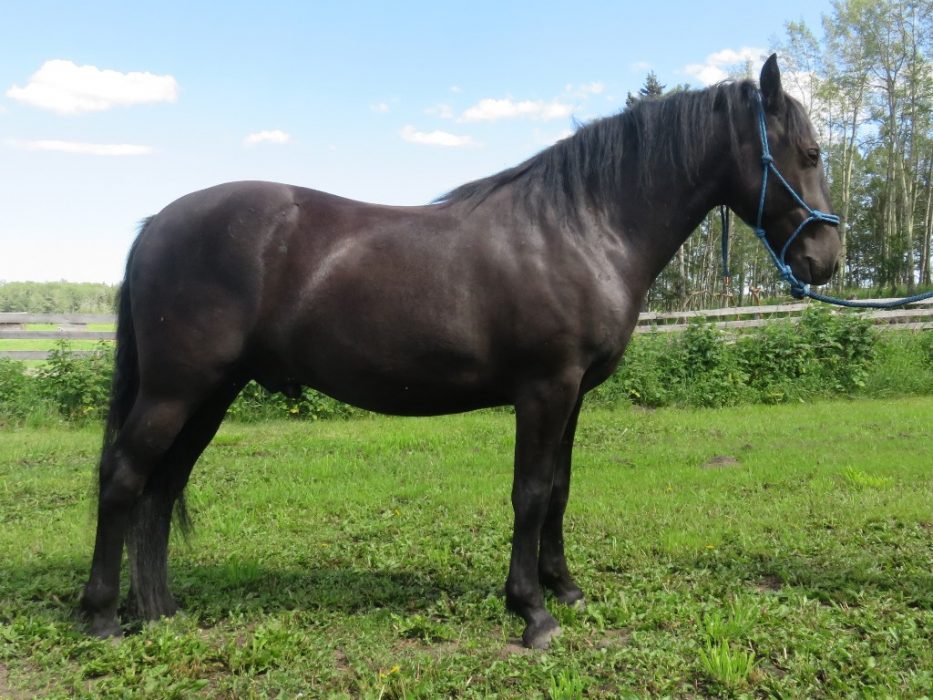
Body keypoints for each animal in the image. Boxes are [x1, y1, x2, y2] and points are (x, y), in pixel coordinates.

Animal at [80, 55, 840, 649]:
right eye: (808, 154)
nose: (825, 258)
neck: (580, 227)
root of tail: (157, 224)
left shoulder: (572, 396)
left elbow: (559, 490)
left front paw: (565, 589)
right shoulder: (544, 389)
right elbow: (529, 493)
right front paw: (531, 611)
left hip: (209, 394)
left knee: (160, 489)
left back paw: (161, 612)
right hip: (177, 390)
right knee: (123, 479)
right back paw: (103, 618)